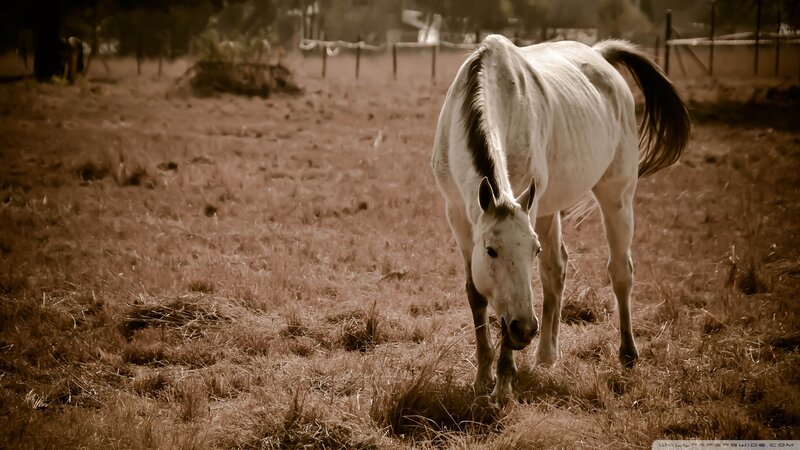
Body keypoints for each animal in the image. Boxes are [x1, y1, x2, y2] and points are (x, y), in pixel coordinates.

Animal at [431, 34, 690, 402]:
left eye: (532, 251)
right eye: (491, 251)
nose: (524, 328)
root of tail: (600, 54)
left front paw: (503, 382)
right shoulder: (458, 216)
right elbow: (477, 294)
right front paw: (482, 378)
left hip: (617, 197)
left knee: (620, 272)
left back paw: (627, 354)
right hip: (548, 209)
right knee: (556, 271)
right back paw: (546, 356)